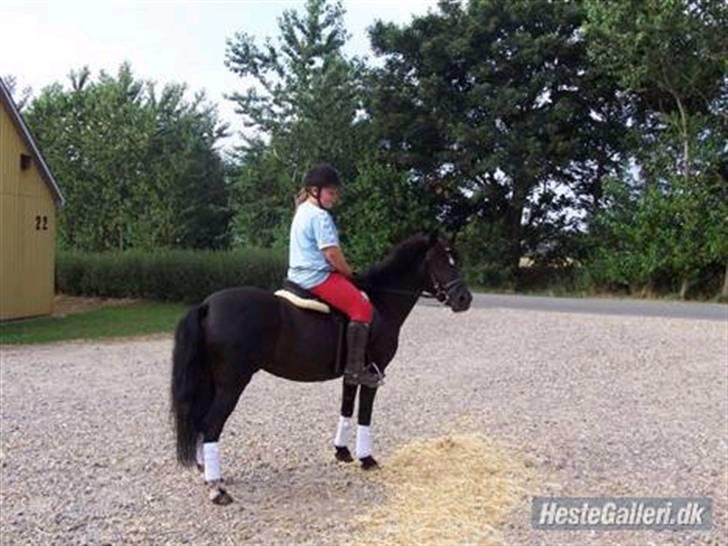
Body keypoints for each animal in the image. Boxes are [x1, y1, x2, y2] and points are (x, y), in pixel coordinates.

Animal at [170, 231, 472, 504]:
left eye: (455, 259)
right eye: (442, 262)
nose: (464, 299)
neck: (380, 302)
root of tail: (207, 305)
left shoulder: (352, 374)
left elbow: (346, 408)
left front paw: (342, 452)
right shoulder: (374, 374)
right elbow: (365, 414)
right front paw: (367, 459)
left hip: (211, 382)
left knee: (200, 421)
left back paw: (208, 474)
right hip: (231, 385)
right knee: (211, 425)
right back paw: (217, 488)